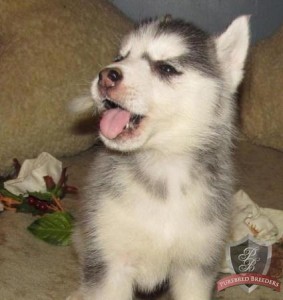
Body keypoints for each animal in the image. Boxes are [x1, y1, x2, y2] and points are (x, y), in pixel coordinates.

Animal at [69, 15, 251, 298]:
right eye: (120, 57)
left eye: (166, 68)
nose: (106, 75)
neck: (165, 167)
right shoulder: (110, 265)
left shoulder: (195, 270)